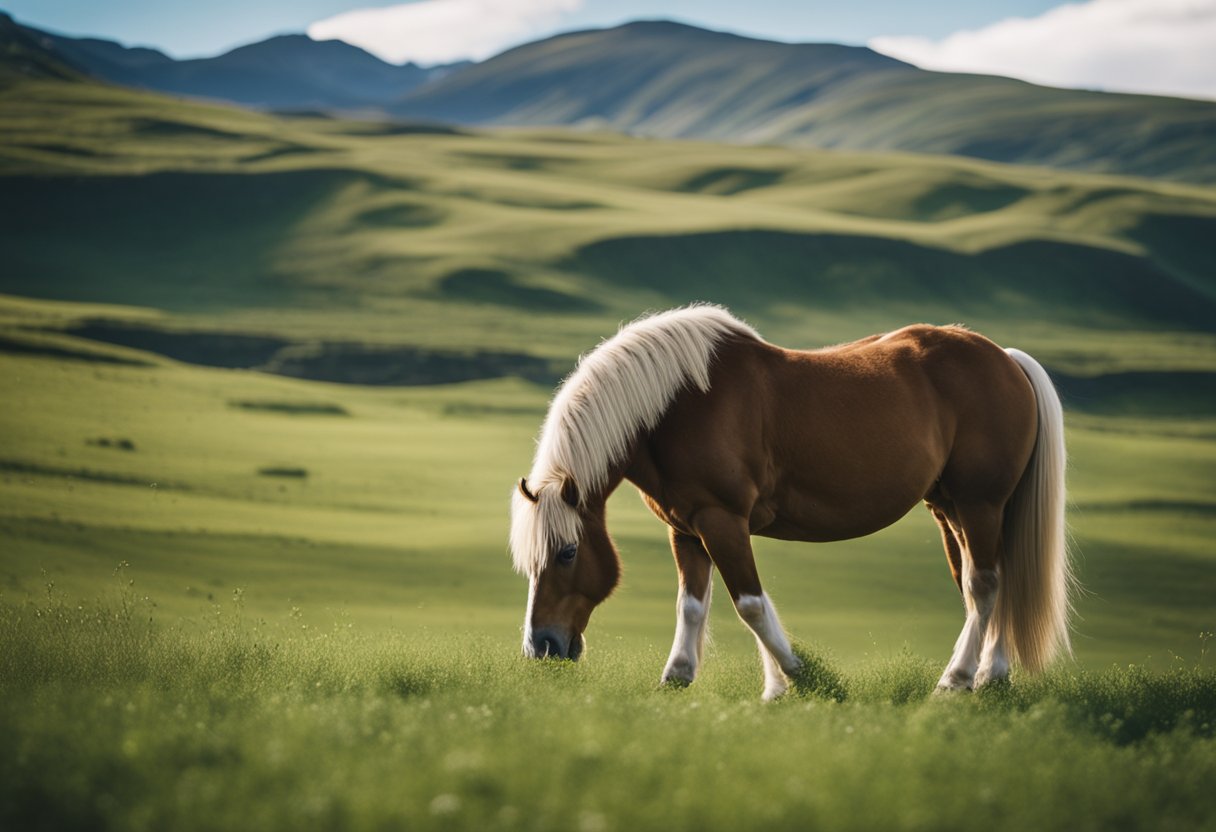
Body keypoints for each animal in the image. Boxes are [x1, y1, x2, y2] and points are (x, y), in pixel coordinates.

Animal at [508, 304, 1070, 695]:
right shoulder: (687, 528)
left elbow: (751, 604)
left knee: (983, 585)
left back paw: (956, 681)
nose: (541, 646)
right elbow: (693, 604)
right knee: (988, 583)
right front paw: (681, 676)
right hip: (950, 510)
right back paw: (991, 676)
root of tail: (1005, 359)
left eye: (568, 552)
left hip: (980, 505)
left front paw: (802, 675)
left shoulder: (722, 520)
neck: (675, 408)